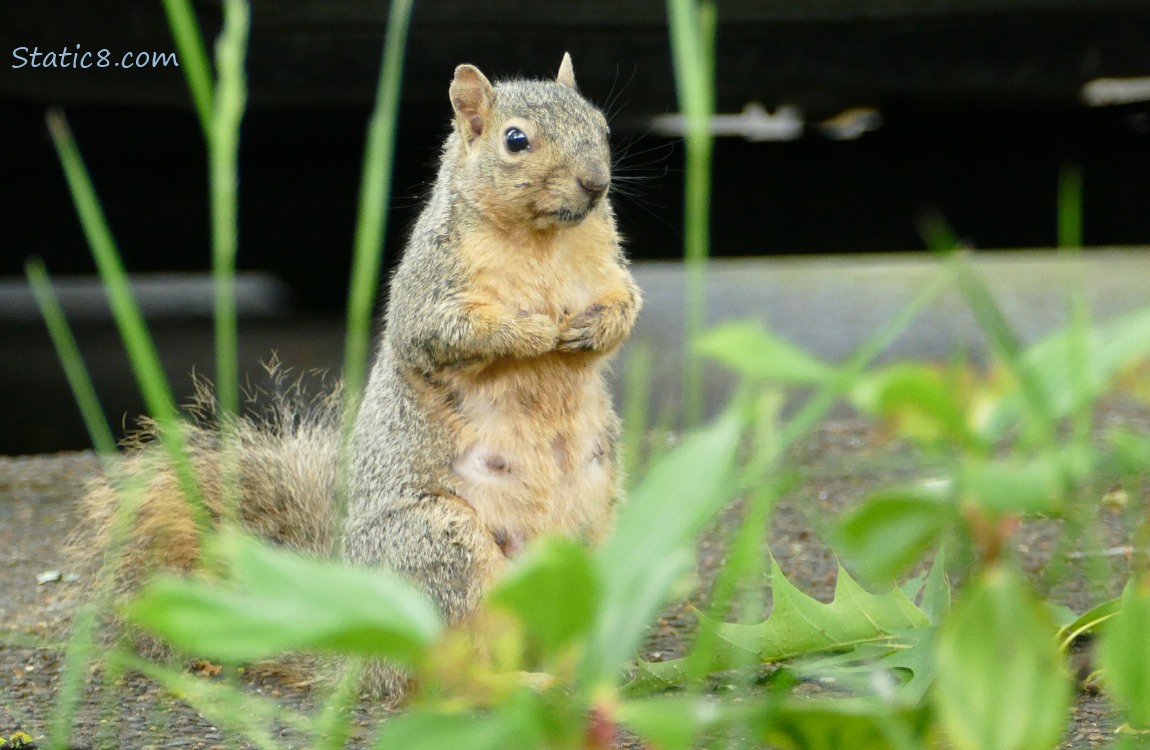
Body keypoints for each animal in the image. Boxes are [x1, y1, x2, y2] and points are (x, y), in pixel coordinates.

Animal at [76, 54, 644, 703]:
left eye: (601, 125)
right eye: (515, 140)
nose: (596, 184)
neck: (544, 240)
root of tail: (364, 656)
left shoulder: (608, 266)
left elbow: (626, 305)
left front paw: (593, 327)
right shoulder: (430, 288)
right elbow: (447, 331)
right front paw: (532, 331)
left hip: (592, 543)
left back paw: (590, 672)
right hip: (443, 549)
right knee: (448, 675)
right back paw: (519, 684)